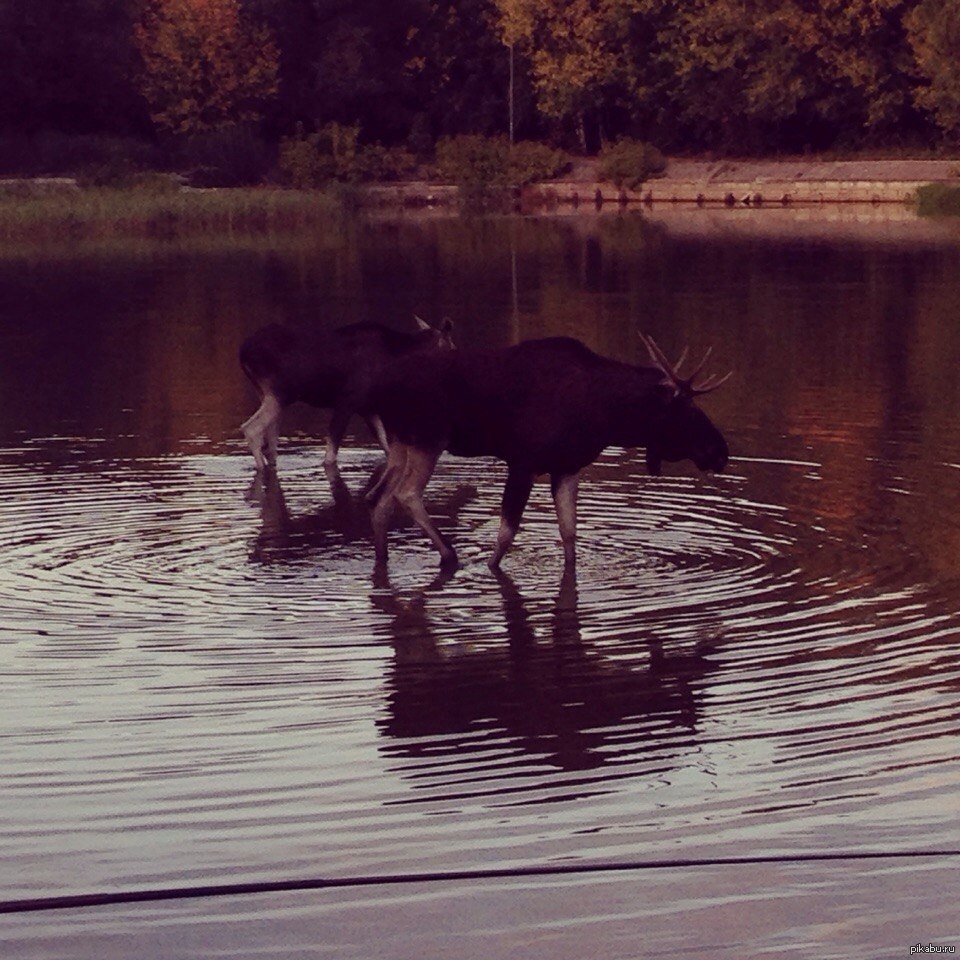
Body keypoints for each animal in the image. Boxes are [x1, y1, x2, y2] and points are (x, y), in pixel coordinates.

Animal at [238, 316, 452, 470]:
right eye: (453, 348)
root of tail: (243, 352)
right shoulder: (347, 402)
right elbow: (330, 456)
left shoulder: (368, 408)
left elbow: (386, 446)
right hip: (280, 393)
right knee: (251, 428)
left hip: (266, 394)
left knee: (271, 440)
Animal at [366, 334, 728, 568]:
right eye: (687, 411)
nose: (721, 452)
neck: (606, 414)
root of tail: (377, 387)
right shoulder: (523, 462)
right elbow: (506, 535)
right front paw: (489, 567)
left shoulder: (566, 466)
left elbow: (569, 534)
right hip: (428, 438)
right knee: (405, 493)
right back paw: (449, 555)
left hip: (401, 442)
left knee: (379, 499)